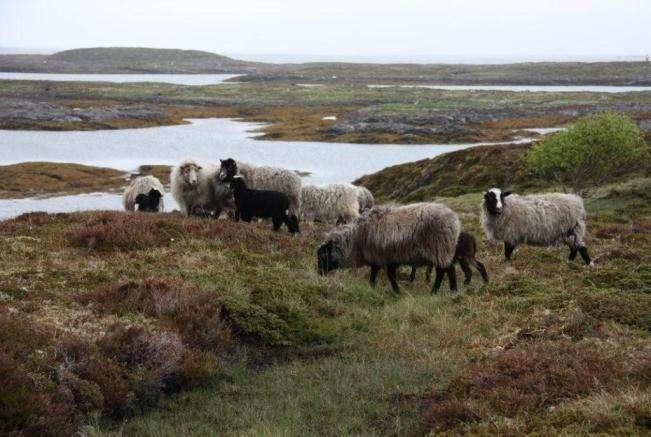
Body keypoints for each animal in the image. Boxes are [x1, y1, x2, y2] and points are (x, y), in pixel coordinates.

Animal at [318, 202, 460, 292]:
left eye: (323, 256)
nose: (319, 273)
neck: (355, 239)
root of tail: (454, 221)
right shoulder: (387, 257)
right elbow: (380, 273)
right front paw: (373, 287)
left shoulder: (381, 255)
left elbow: (386, 274)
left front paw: (396, 291)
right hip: (443, 250)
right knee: (447, 270)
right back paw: (450, 290)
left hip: (440, 248)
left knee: (445, 270)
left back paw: (441, 290)